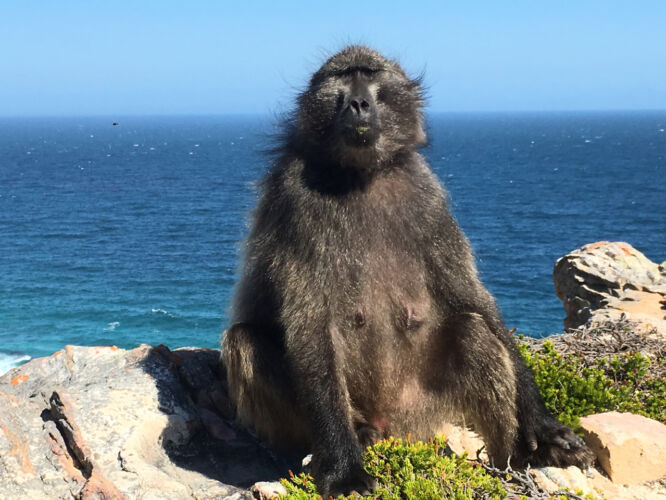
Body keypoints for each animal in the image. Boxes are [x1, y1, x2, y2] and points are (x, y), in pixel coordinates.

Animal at [221, 45, 594, 497]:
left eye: (370, 76)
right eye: (342, 79)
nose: (358, 104)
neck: (361, 175)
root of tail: (391, 427)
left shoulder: (428, 196)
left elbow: (471, 297)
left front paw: (544, 426)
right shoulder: (295, 201)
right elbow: (309, 324)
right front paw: (344, 470)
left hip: (421, 410)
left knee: (472, 332)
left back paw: (516, 463)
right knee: (245, 341)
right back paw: (359, 435)